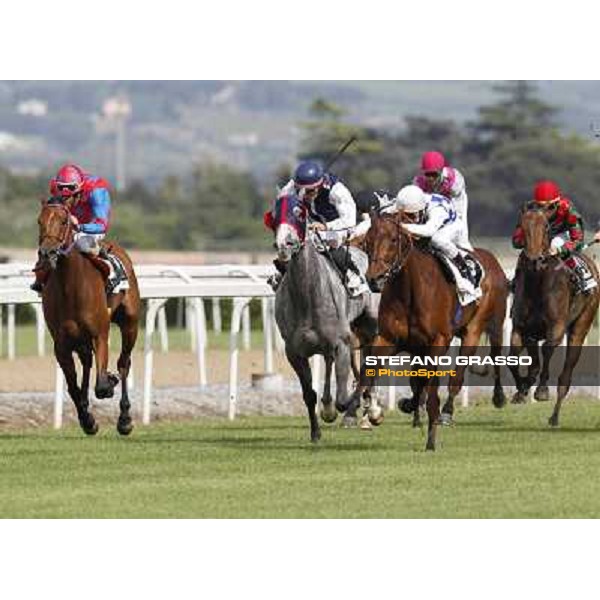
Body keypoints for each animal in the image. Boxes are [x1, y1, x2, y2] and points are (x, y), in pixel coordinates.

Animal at [37, 199, 141, 434]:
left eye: (63, 221)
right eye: (39, 221)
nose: (47, 253)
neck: (70, 286)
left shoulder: (99, 335)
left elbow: (101, 386)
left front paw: (109, 382)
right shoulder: (61, 344)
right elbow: (73, 388)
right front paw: (88, 420)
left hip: (130, 324)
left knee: (124, 362)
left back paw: (124, 419)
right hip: (79, 339)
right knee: (86, 363)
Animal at [340, 211, 508, 450]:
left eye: (394, 239)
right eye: (367, 242)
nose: (375, 278)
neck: (410, 288)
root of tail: (492, 260)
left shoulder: (438, 341)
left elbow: (431, 387)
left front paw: (431, 438)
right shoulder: (389, 339)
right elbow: (369, 371)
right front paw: (362, 412)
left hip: (478, 329)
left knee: (473, 366)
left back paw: (470, 405)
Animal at [508, 206, 596, 426]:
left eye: (546, 227)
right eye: (521, 226)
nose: (534, 260)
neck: (538, 283)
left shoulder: (556, 327)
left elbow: (547, 350)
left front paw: (541, 391)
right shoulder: (521, 327)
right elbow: (515, 357)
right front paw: (522, 389)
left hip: (580, 327)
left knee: (565, 377)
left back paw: (555, 417)